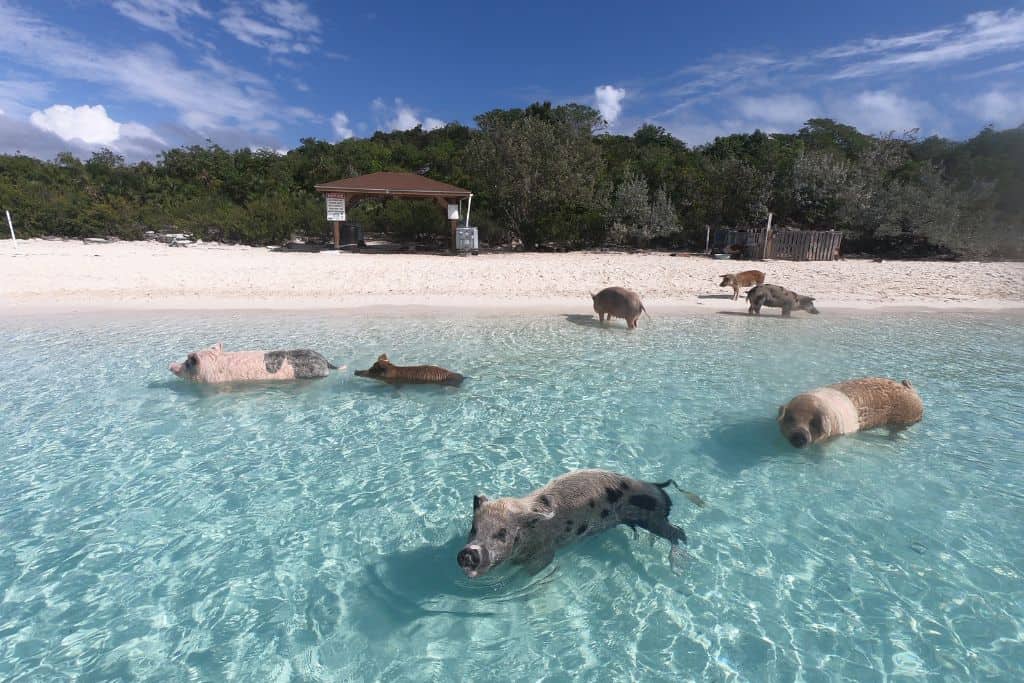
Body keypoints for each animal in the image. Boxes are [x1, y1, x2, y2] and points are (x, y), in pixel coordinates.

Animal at [456, 471, 704, 577]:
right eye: (474, 528)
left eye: (502, 533)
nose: (469, 552)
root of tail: (657, 485)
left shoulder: (546, 553)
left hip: (652, 518)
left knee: (678, 533)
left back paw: (679, 567)